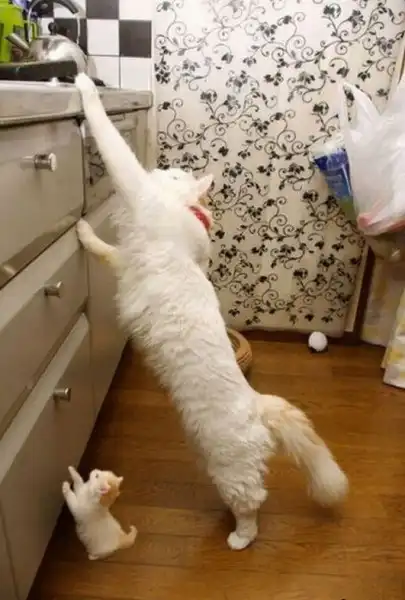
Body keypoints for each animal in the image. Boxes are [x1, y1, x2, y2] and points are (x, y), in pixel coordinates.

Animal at [74, 73, 348, 551]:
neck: (187, 217)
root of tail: (258, 404)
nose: (164, 167)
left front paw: (85, 82)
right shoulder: (125, 259)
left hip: (230, 467)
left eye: (175, 174)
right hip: (212, 458)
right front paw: (84, 229)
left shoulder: (133, 194)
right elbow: (103, 247)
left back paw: (239, 537)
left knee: (253, 503)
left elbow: (110, 142)